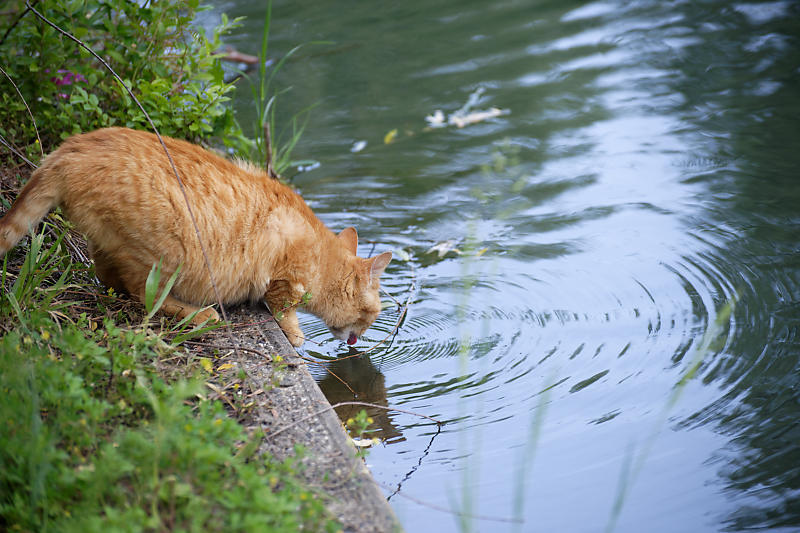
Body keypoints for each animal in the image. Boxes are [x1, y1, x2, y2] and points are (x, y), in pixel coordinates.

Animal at [0, 128, 390, 344]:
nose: (360, 338)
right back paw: (200, 315)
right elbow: (284, 308)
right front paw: (295, 336)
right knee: (143, 293)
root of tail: (69, 150)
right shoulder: (284, 276)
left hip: (109, 244)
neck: (321, 257)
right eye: (370, 315)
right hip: (163, 254)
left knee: (109, 278)